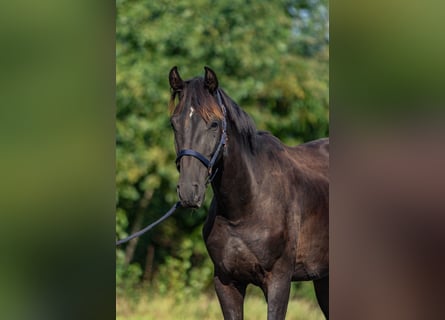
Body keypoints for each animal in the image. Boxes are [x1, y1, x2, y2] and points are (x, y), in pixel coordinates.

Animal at [168, 66, 328, 318]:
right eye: (174, 123)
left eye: (214, 124)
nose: (188, 191)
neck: (246, 206)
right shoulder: (226, 282)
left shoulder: (279, 282)